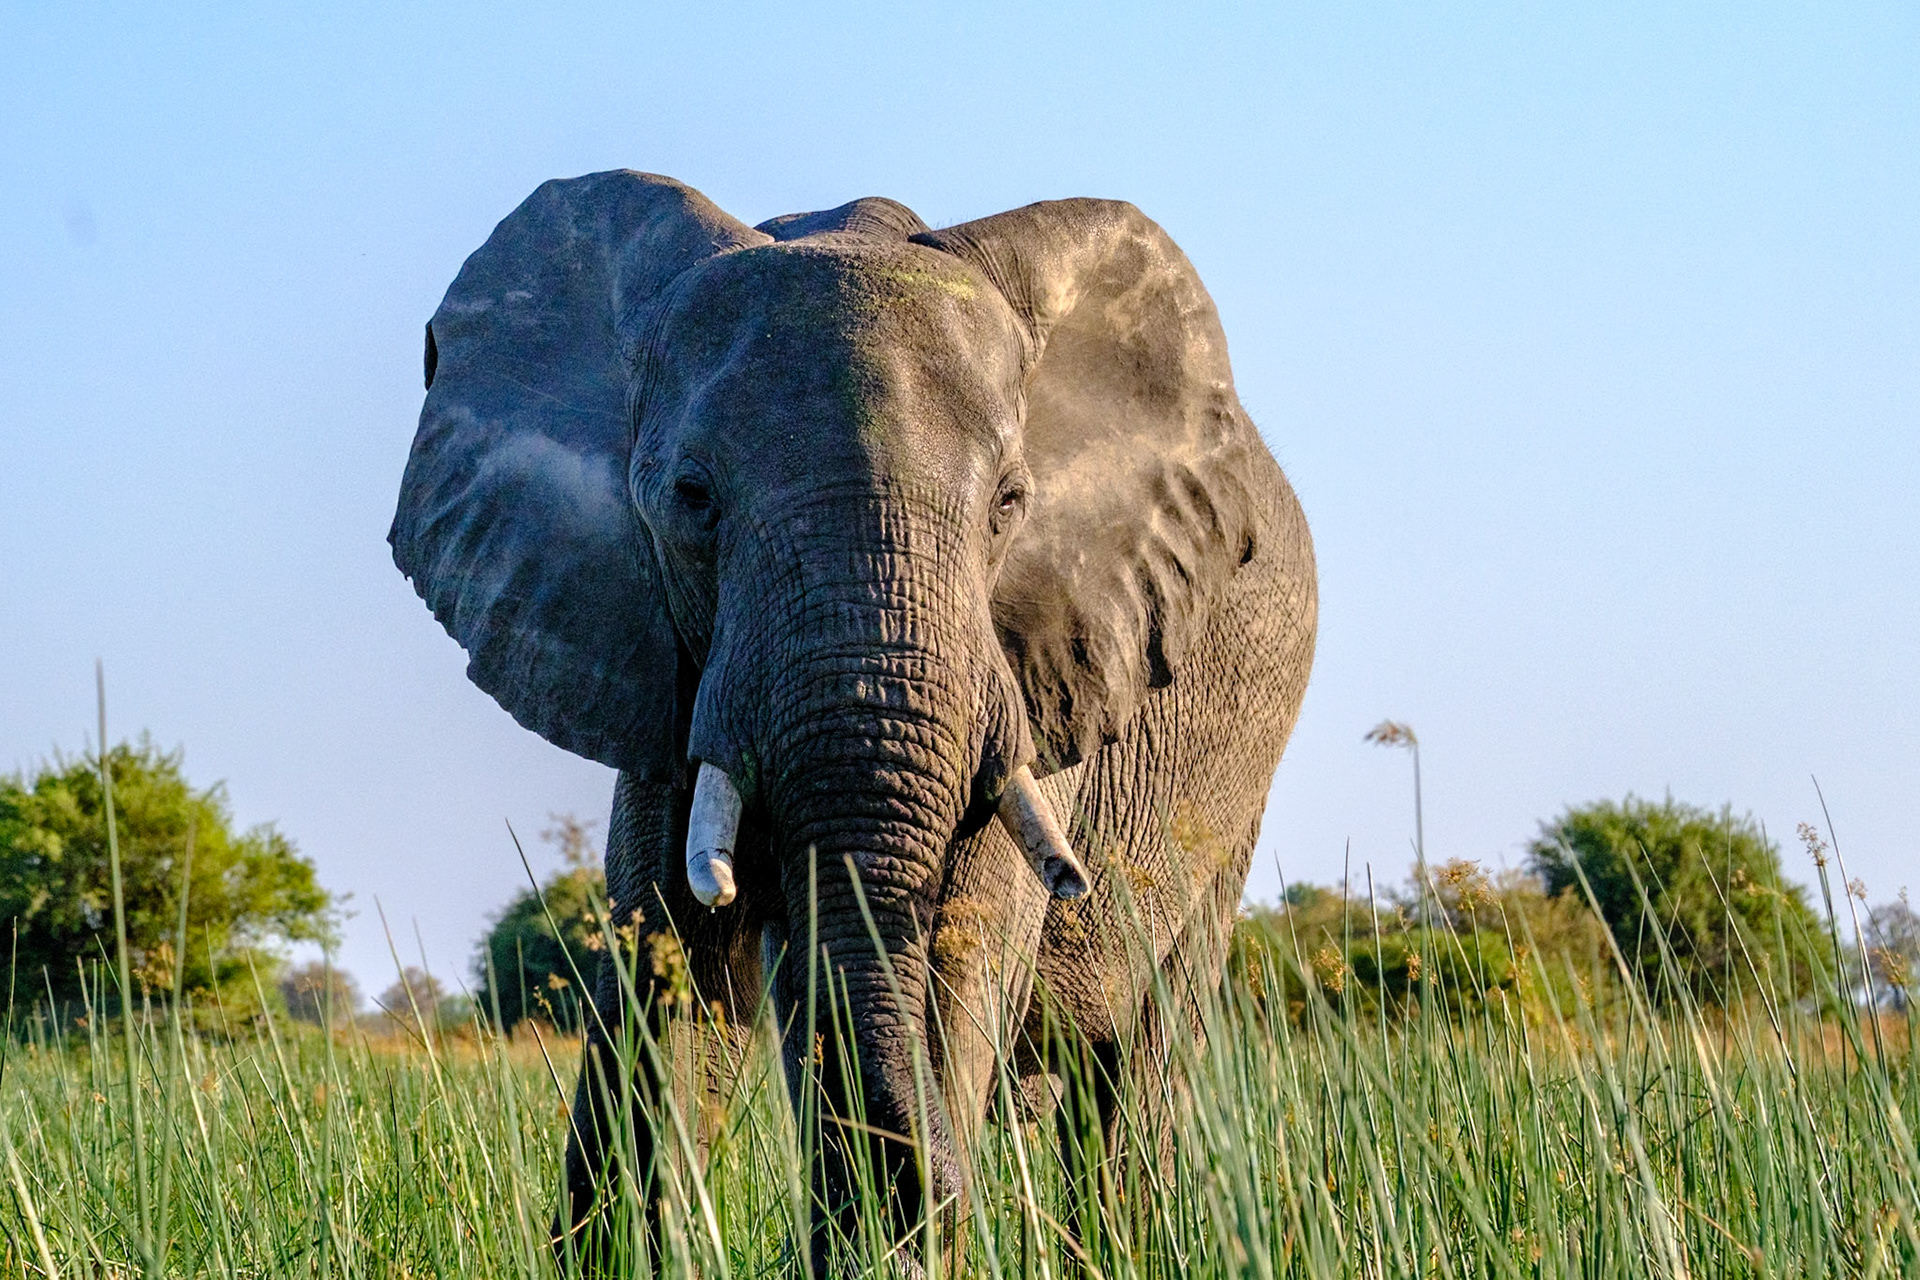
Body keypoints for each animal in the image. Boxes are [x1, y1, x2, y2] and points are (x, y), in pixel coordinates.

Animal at [390, 170, 1316, 1273]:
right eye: (693, 498)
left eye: (1010, 502)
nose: (922, 1185)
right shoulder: (655, 658)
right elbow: (665, 969)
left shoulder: (1041, 660)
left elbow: (958, 956)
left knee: (1142, 1056)